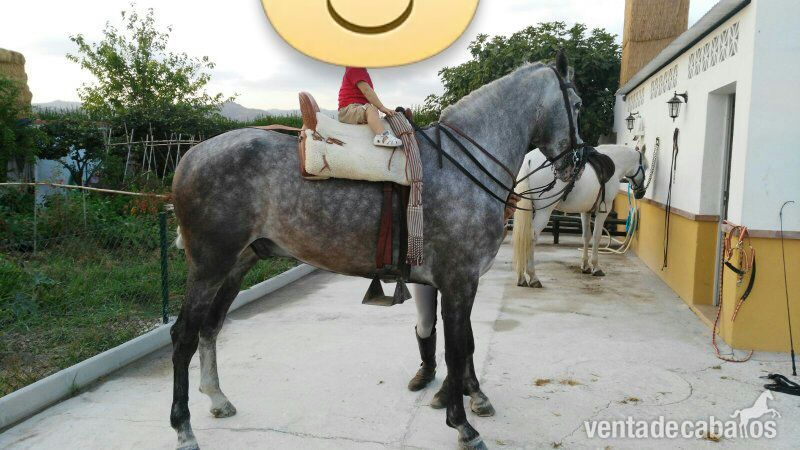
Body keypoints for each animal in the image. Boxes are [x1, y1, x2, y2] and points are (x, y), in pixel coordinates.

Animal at [169, 52, 583, 450]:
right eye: (577, 104)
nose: (575, 164)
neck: (465, 164)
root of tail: (191, 154)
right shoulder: (459, 281)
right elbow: (456, 349)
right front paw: (463, 426)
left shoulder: (458, 283)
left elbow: (464, 343)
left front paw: (471, 399)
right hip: (209, 265)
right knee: (184, 335)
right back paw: (184, 429)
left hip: (237, 264)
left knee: (210, 327)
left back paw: (217, 398)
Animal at [511, 145, 647, 287]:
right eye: (646, 167)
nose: (641, 193)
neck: (615, 163)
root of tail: (529, 159)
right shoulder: (603, 210)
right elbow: (597, 236)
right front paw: (596, 267)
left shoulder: (585, 211)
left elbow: (586, 236)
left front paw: (585, 266)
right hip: (544, 211)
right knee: (531, 237)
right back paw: (533, 277)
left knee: (523, 235)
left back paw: (521, 277)